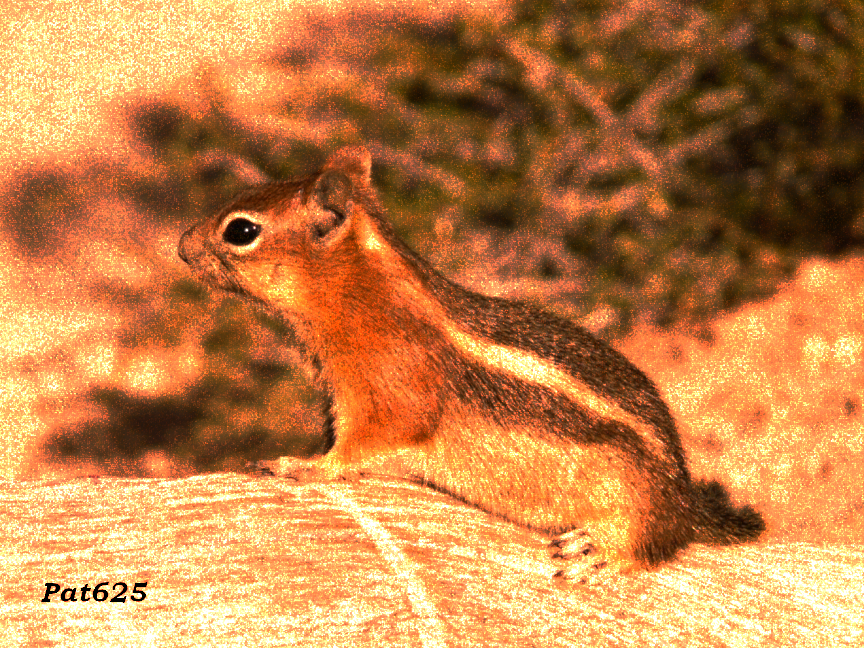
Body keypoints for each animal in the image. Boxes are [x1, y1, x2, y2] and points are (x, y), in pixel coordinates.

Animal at [178, 146, 764, 583]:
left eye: (240, 231)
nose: (182, 246)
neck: (365, 295)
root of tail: (684, 496)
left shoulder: (384, 398)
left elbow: (354, 451)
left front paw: (298, 465)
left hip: (633, 497)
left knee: (655, 544)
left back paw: (599, 554)